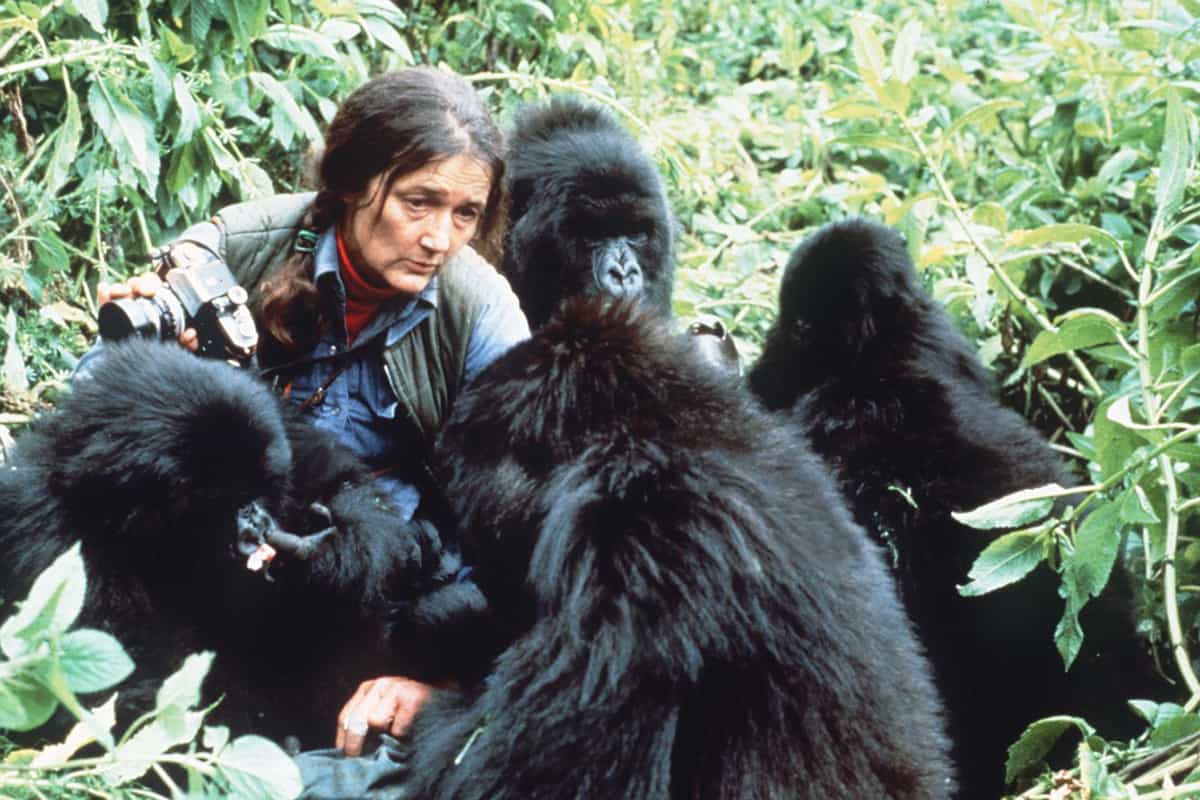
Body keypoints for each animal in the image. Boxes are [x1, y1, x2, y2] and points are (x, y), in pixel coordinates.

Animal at [0, 340, 463, 753]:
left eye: (255, 492)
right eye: (225, 503)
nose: (256, 524)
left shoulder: (277, 419)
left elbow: (345, 485)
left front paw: (331, 556)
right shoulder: (48, 537)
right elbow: (112, 691)